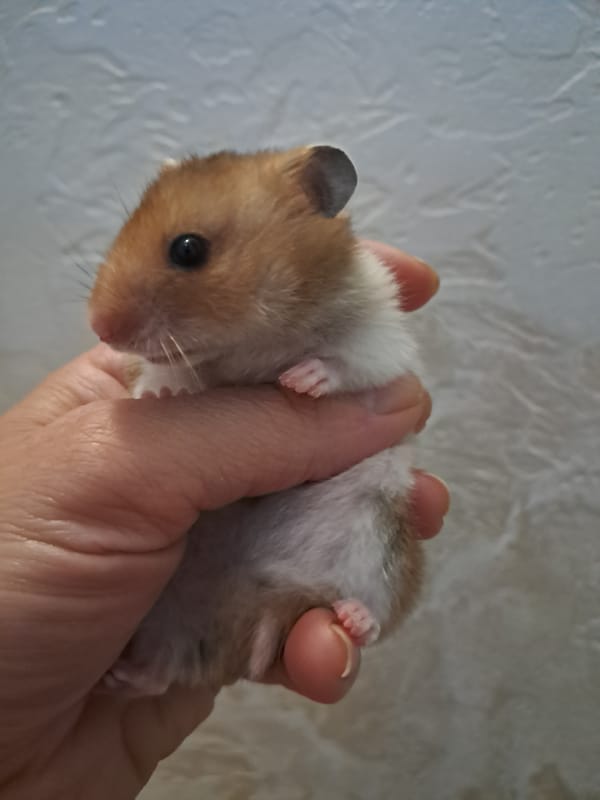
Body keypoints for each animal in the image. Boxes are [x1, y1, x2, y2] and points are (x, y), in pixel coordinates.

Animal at [88, 146, 424, 695]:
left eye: (187, 250)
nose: (98, 328)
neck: (254, 340)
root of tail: (254, 604)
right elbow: (164, 368)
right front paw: (158, 392)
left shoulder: (381, 340)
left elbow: (346, 363)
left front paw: (300, 382)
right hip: (167, 612)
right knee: (169, 668)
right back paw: (125, 674)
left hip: (378, 543)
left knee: (375, 609)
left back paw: (354, 618)